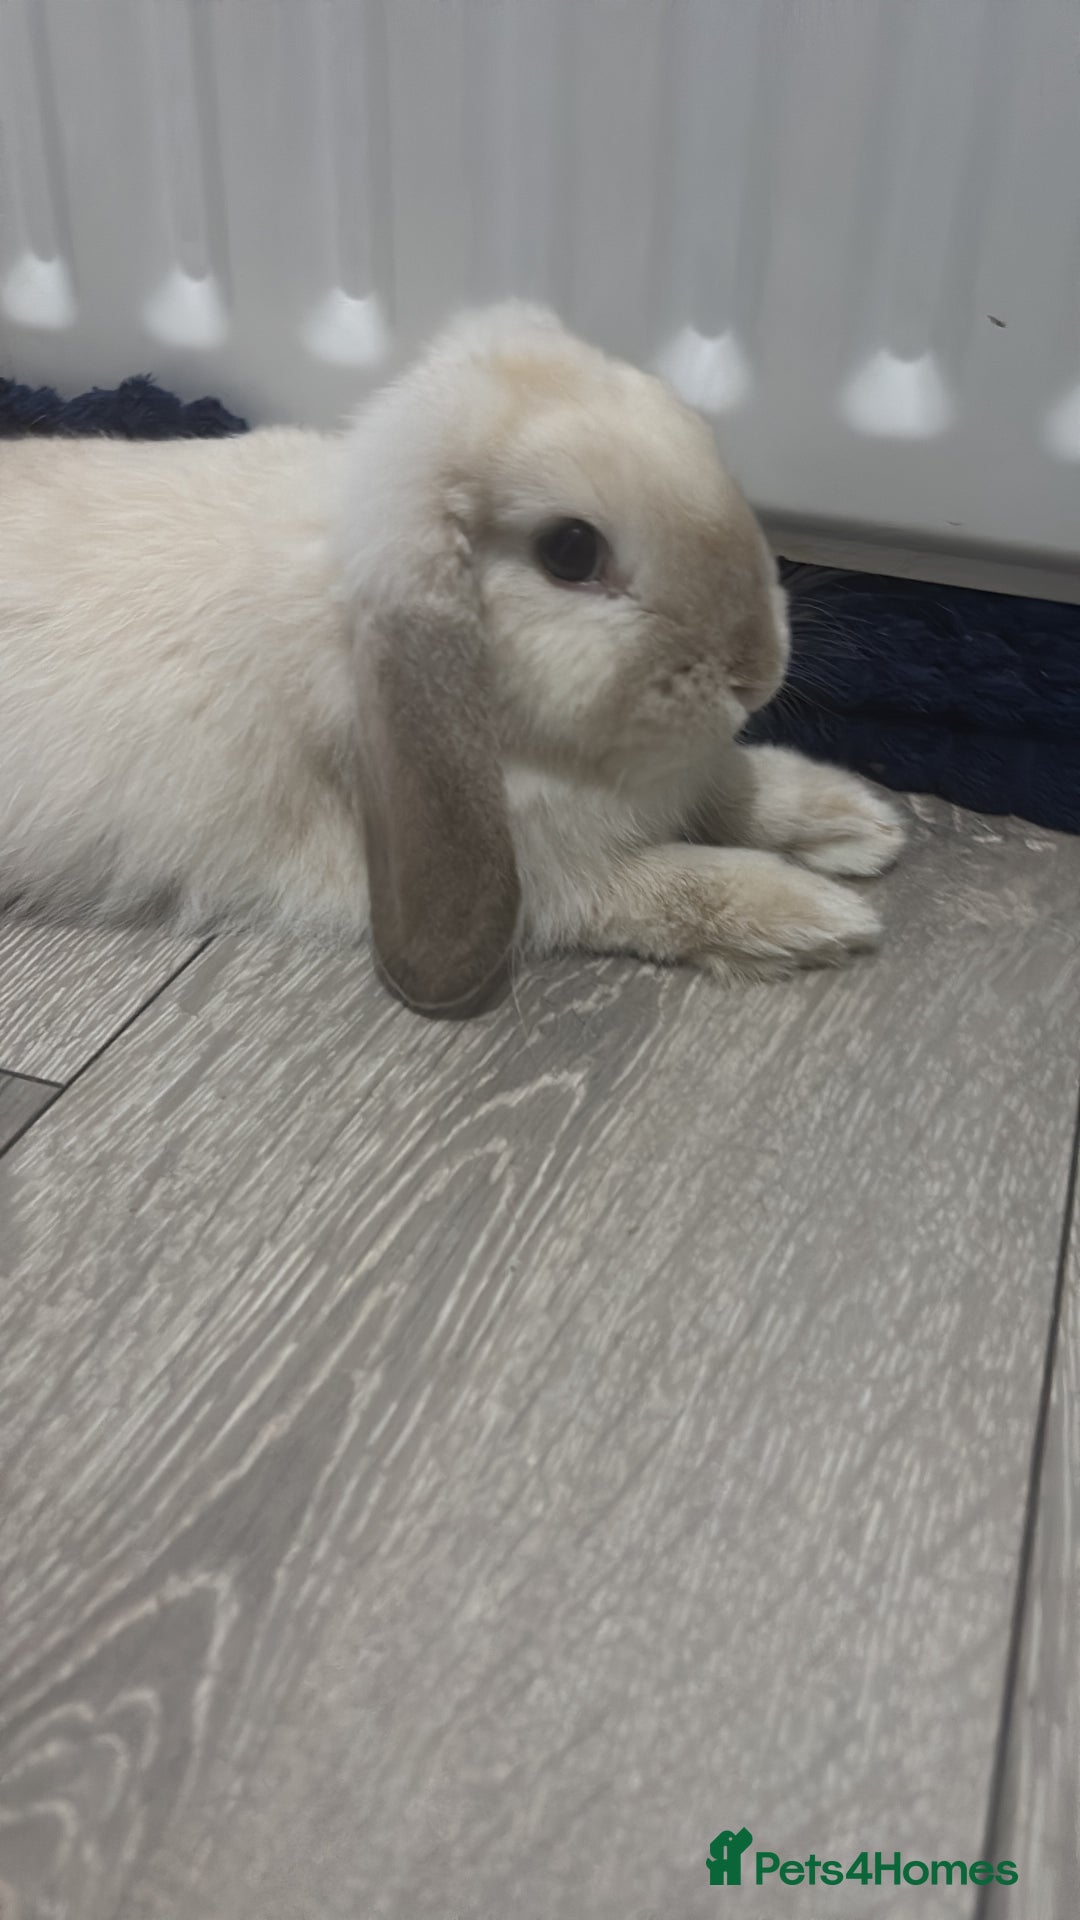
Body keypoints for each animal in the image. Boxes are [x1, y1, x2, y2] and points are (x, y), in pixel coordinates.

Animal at [0, 301, 904, 1016]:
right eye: (570, 551)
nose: (758, 669)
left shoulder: (674, 773)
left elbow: (735, 786)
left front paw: (859, 823)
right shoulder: (555, 872)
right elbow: (675, 885)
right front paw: (818, 919)